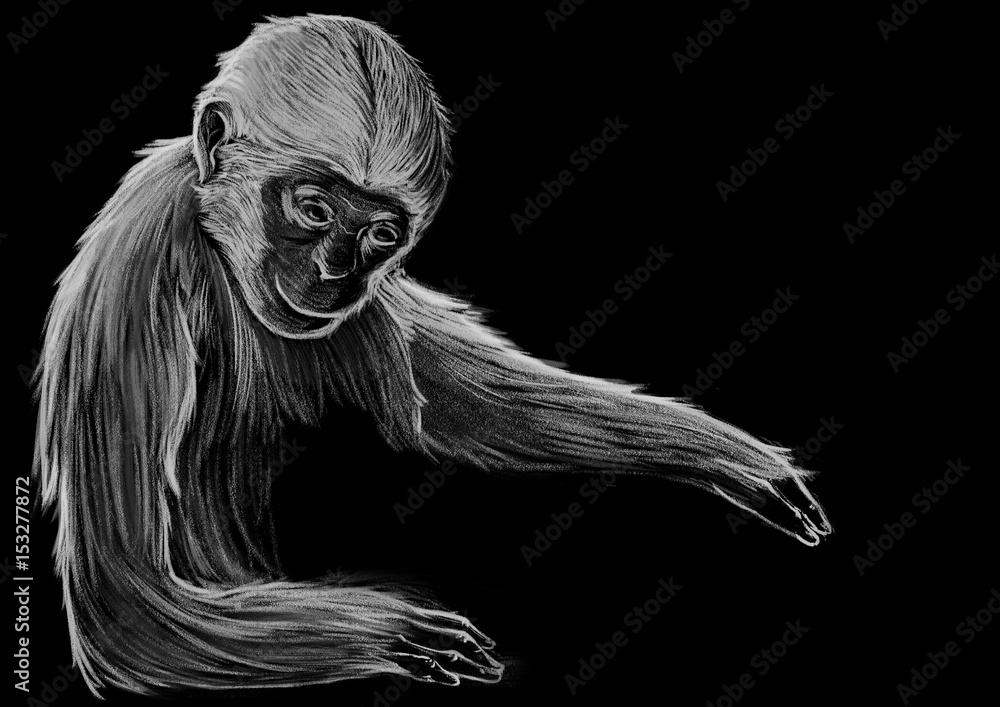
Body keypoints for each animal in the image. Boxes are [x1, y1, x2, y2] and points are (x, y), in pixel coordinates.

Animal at [31, 14, 832, 698]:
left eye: (381, 234)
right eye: (313, 209)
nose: (338, 271)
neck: (218, 250)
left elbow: (447, 402)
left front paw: (724, 454)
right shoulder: (135, 272)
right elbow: (129, 601)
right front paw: (386, 629)